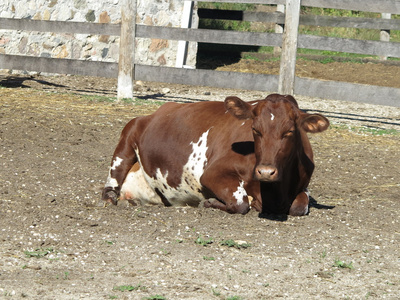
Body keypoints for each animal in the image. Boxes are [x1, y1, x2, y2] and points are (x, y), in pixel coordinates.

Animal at [101, 94, 330, 216]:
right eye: (255, 129)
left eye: (290, 131)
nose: (265, 171)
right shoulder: (212, 174)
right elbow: (240, 203)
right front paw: (210, 202)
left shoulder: (303, 186)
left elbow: (299, 206)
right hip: (128, 135)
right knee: (113, 180)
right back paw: (112, 197)